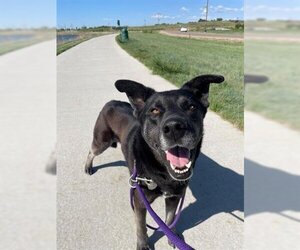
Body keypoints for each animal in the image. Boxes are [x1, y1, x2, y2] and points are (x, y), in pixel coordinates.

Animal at [83, 74, 224, 250]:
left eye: (191, 107)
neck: (163, 173)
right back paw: (88, 166)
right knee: (91, 151)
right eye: (154, 110)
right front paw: (143, 244)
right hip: (102, 141)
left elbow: (169, 219)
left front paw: (172, 236)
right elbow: (141, 226)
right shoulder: (140, 201)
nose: (174, 127)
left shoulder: (174, 197)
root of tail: (111, 101)